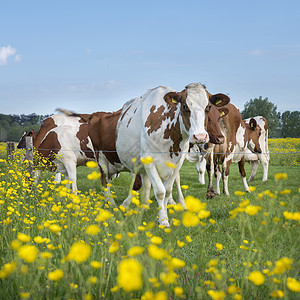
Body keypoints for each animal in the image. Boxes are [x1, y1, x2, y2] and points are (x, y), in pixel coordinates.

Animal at [115, 83, 230, 226]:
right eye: (185, 106)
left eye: (208, 107)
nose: (200, 137)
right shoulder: (148, 160)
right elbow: (160, 191)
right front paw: (163, 221)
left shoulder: (178, 162)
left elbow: (168, 190)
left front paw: (165, 213)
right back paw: (126, 205)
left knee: (146, 184)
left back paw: (145, 205)